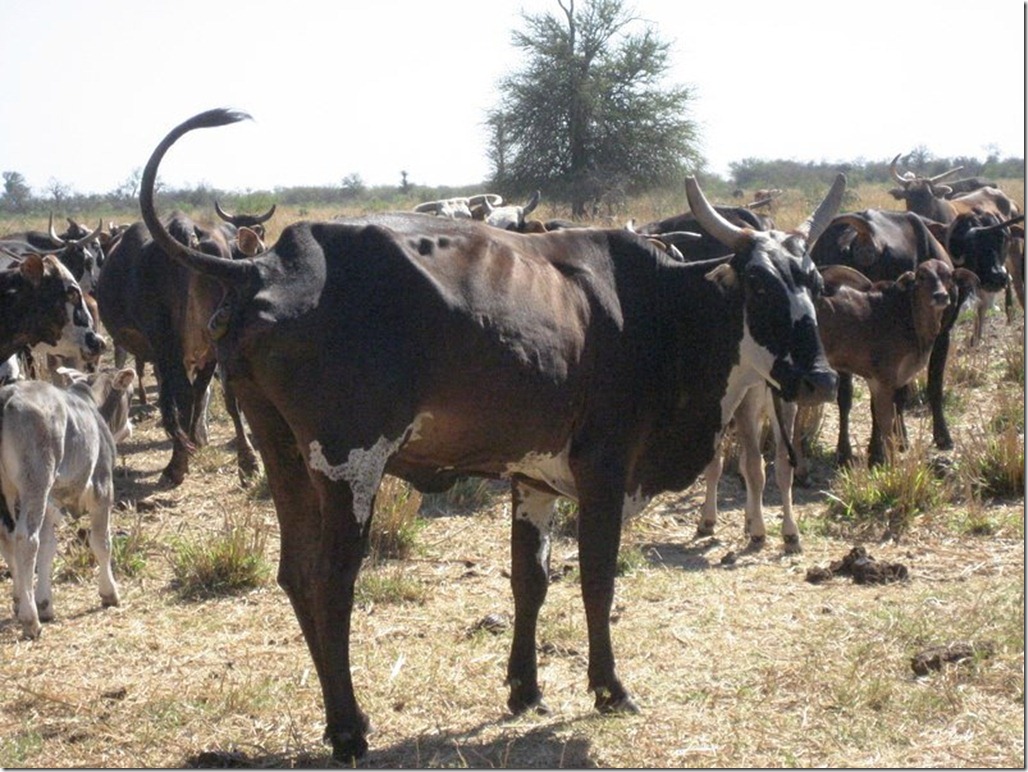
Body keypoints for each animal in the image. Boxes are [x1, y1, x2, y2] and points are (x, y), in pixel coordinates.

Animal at [0, 365, 135, 641]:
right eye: (131, 394)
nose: (131, 424)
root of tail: (7, 394)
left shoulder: (52, 502)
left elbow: (49, 547)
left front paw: (45, 603)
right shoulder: (102, 488)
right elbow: (101, 542)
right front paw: (109, 593)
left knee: (7, 538)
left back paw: (20, 601)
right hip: (35, 484)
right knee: (26, 540)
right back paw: (30, 620)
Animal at [96, 211, 263, 485]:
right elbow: (200, 394)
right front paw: (195, 439)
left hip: (167, 343)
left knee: (183, 395)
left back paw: (176, 465)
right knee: (227, 394)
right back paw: (247, 462)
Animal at [138, 108, 842, 760]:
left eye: (814, 281)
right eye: (759, 284)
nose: (819, 379)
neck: (656, 308)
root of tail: (272, 263)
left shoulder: (534, 476)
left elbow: (530, 581)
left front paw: (524, 688)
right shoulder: (605, 470)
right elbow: (597, 578)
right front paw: (609, 688)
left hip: (283, 451)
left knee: (293, 573)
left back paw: (349, 718)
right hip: (349, 466)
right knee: (330, 581)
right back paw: (348, 730)